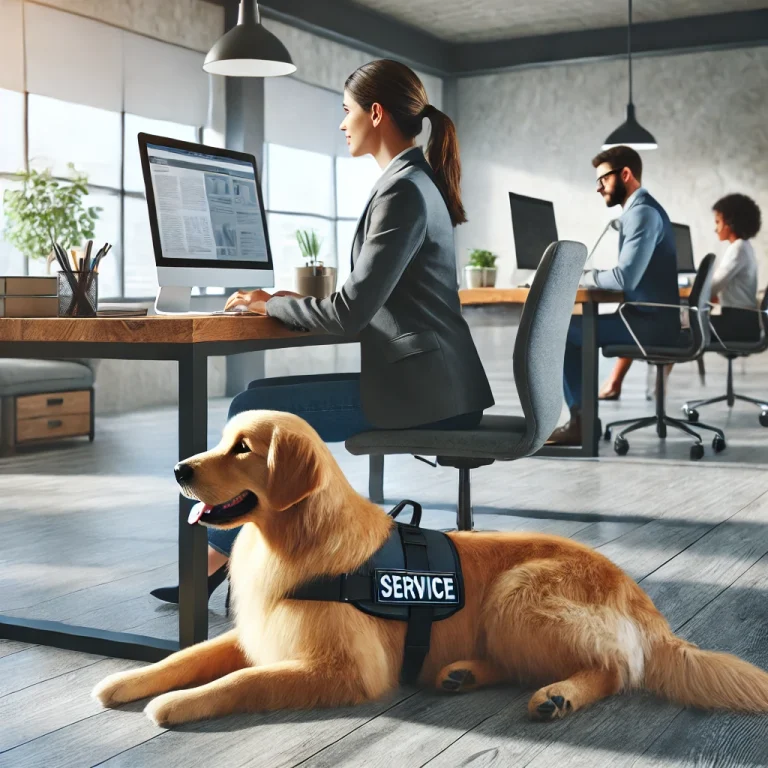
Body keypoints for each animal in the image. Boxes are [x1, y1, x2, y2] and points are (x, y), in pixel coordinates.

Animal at [93, 408, 768, 728]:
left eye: (241, 448)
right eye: (220, 440)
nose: (179, 469)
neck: (295, 540)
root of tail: (639, 597)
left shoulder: (344, 668)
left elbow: (241, 683)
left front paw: (174, 705)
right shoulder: (261, 628)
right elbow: (188, 656)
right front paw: (127, 682)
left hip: (518, 594)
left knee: (616, 668)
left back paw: (557, 696)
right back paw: (462, 674)